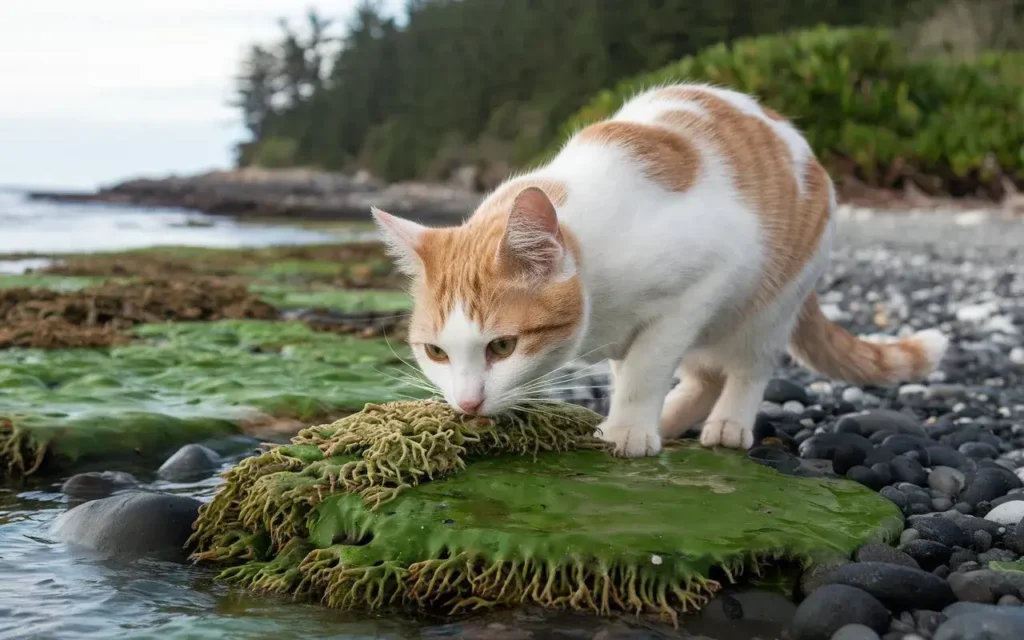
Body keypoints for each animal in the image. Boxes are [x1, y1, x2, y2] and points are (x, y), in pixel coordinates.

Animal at [372, 82, 946, 456]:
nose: (467, 404)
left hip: (768, 302)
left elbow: (645, 370)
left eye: (502, 346)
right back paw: (673, 419)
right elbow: (628, 369)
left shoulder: (702, 283)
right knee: (707, 373)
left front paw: (629, 429)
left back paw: (727, 423)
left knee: (748, 366)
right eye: (436, 352)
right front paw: (631, 420)